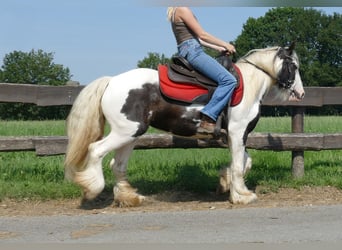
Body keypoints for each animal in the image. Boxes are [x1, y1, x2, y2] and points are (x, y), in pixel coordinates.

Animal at [64, 43, 304, 207]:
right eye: (293, 65)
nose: (300, 93)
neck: (248, 86)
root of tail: (111, 81)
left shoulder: (233, 136)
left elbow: (246, 161)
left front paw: (225, 183)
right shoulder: (238, 132)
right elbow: (239, 164)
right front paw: (241, 196)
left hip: (130, 134)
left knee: (118, 164)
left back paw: (130, 197)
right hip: (126, 132)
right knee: (96, 150)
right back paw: (92, 188)